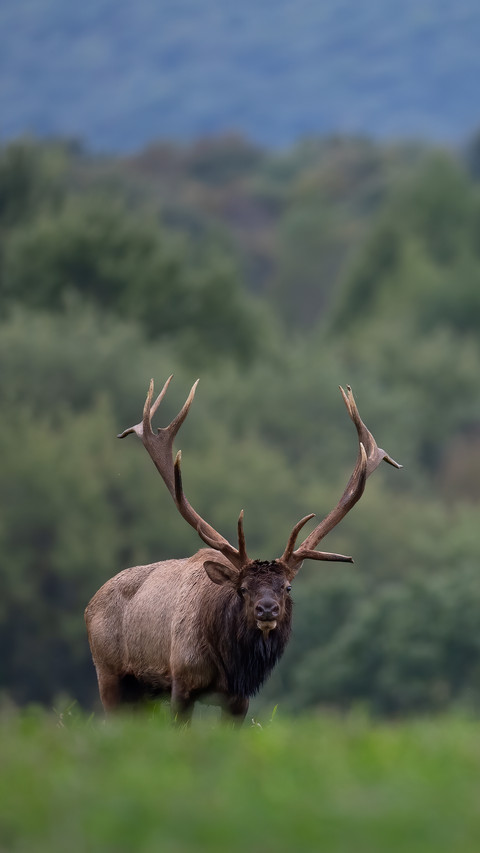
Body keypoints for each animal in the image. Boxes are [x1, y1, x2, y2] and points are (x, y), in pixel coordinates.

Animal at [85, 376, 401, 724]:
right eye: (243, 589)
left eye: (287, 587)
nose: (267, 610)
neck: (231, 668)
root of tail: (90, 603)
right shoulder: (181, 680)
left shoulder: (240, 699)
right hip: (109, 673)